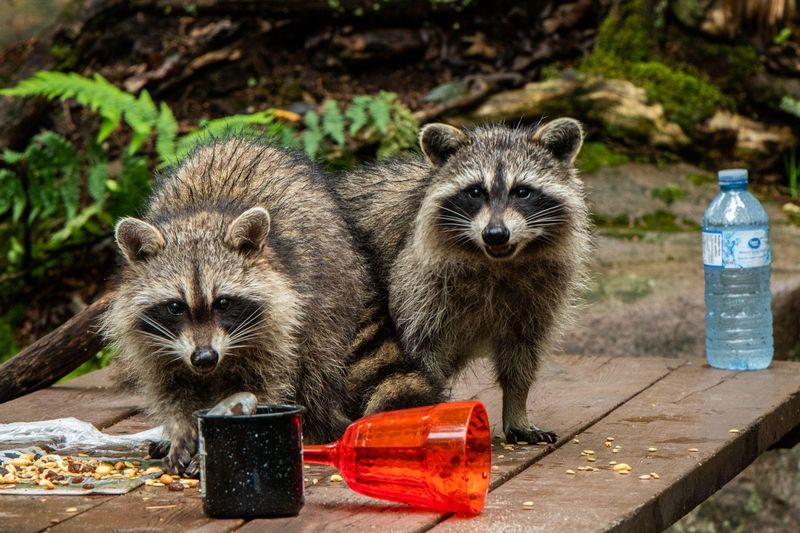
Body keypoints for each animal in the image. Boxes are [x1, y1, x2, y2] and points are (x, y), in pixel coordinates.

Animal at [102, 138, 371, 474]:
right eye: (175, 307)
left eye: (223, 303)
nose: (204, 358)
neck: (199, 218)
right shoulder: (152, 343)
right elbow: (170, 390)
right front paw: (180, 432)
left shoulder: (279, 324)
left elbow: (263, 385)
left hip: (335, 296)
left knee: (317, 367)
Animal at [334, 118, 591, 444]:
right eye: (475, 191)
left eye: (522, 191)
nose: (495, 234)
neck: (496, 261)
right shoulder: (417, 284)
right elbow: (419, 353)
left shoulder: (540, 294)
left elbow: (522, 351)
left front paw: (517, 406)